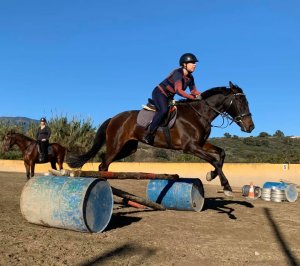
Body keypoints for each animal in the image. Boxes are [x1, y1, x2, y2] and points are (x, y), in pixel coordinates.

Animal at [68, 81, 255, 195]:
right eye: (241, 103)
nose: (250, 127)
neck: (199, 114)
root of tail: (114, 118)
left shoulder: (201, 144)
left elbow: (221, 154)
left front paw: (211, 176)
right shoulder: (191, 147)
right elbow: (214, 160)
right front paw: (226, 186)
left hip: (129, 148)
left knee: (104, 163)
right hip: (116, 145)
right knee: (103, 164)